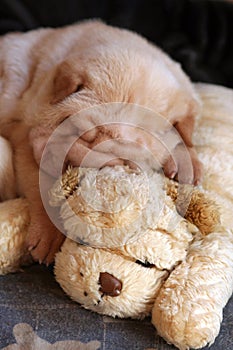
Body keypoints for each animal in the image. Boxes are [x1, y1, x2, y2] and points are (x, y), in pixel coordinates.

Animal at [0, 20, 202, 264]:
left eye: (123, 161)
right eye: (73, 128)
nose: (68, 160)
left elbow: (183, 133)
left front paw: (186, 161)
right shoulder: (24, 130)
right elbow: (40, 186)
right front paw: (48, 233)